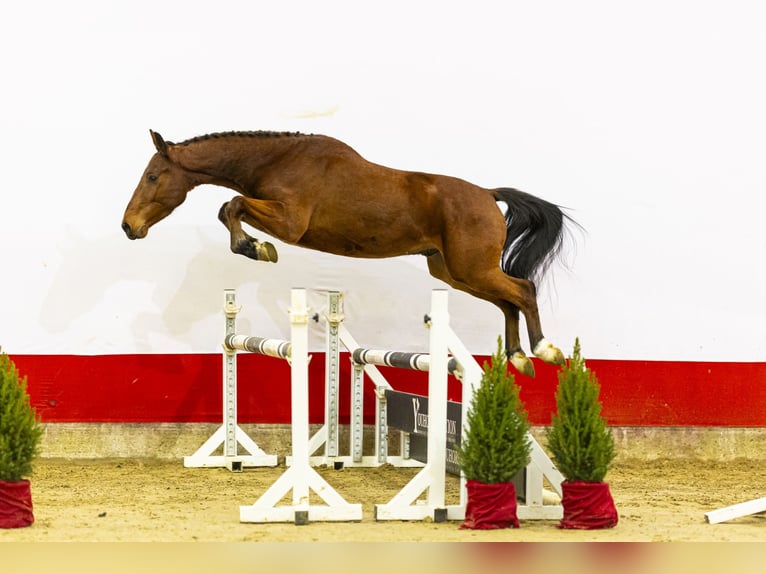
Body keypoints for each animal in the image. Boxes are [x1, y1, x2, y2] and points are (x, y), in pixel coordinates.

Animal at [122, 130, 576, 377]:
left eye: (153, 176)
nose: (129, 226)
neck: (276, 160)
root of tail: (487, 194)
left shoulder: (289, 222)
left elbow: (231, 205)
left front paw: (257, 248)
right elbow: (228, 208)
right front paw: (255, 247)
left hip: (472, 269)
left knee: (523, 289)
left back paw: (543, 350)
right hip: (454, 273)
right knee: (508, 300)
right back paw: (519, 358)